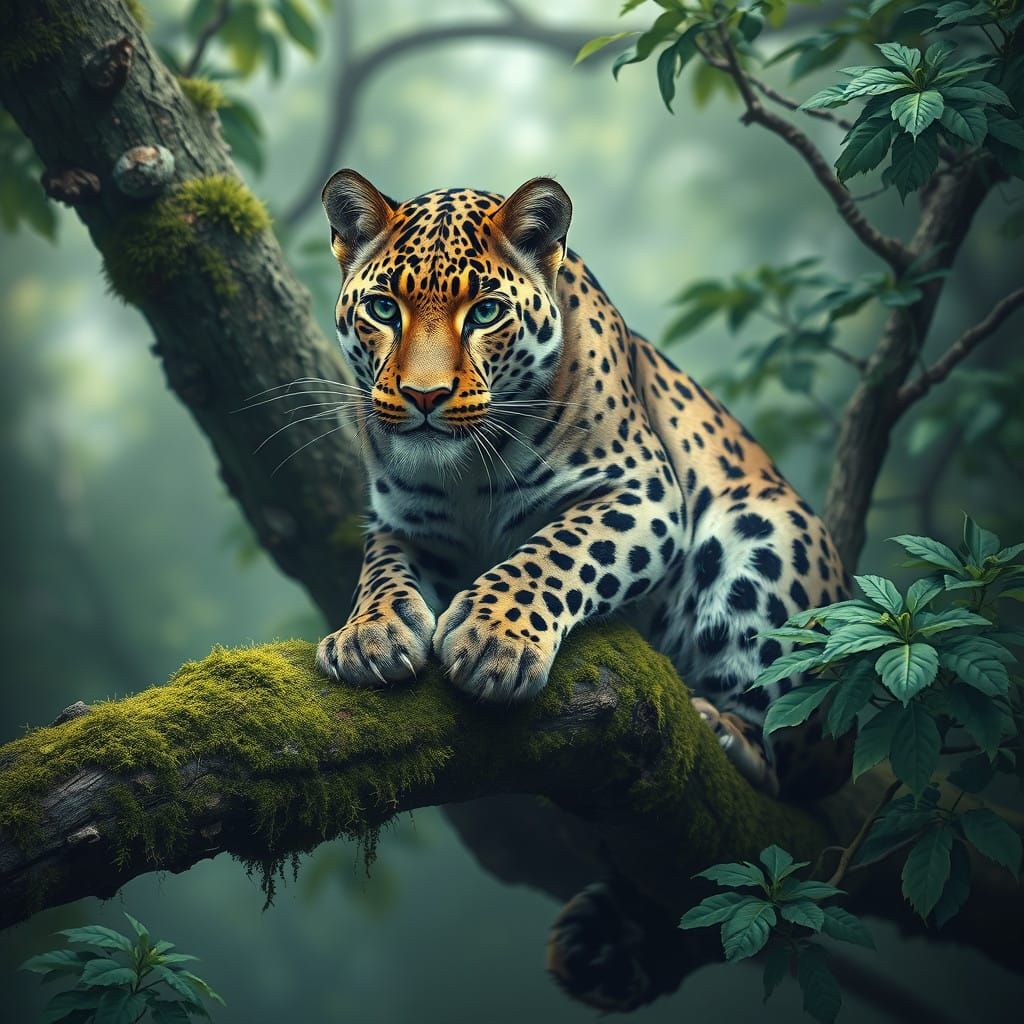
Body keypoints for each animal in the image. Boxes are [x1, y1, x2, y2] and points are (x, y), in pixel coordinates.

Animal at [315, 170, 854, 1009]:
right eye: (382, 309)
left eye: (486, 312)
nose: (424, 398)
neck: (464, 475)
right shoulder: (405, 523)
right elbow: (381, 573)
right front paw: (369, 634)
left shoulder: (639, 493)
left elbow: (552, 554)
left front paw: (491, 643)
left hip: (766, 534)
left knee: (788, 768)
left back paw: (728, 732)